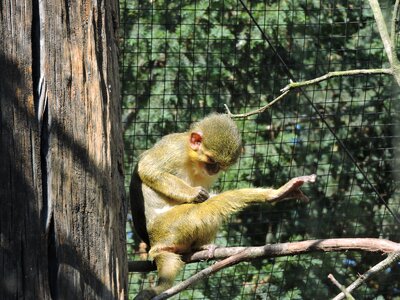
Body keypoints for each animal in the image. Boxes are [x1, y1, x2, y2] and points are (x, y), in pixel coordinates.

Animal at [130, 113, 316, 298]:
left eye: (219, 166)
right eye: (211, 160)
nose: (213, 169)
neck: (191, 158)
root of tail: (155, 244)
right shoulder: (174, 147)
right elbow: (147, 169)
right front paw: (193, 193)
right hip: (168, 226)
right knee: (209, 205)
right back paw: (273, 194)